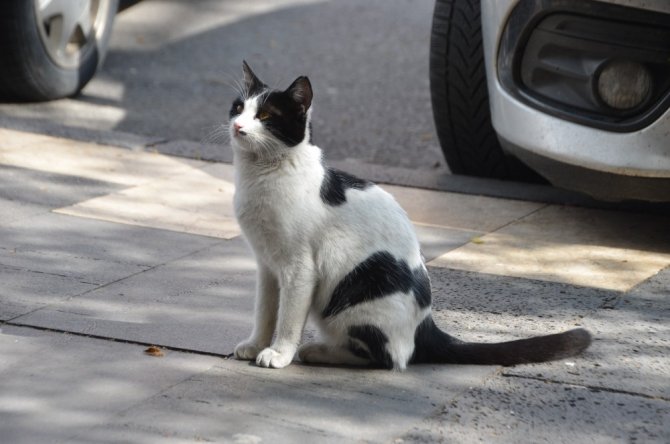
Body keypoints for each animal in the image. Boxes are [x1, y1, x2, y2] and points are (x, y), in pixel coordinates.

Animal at [228, 60, 592, 370]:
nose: (238, 125)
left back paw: (318, 351)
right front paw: (256, 344)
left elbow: (288, 318)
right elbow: (265, 310)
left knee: (389, 358)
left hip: (357, 292)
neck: (261, 175)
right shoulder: (267, 266)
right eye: (239, 108)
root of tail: (425, 326)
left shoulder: (299, 269)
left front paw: (278, 353)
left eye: (266, 115)